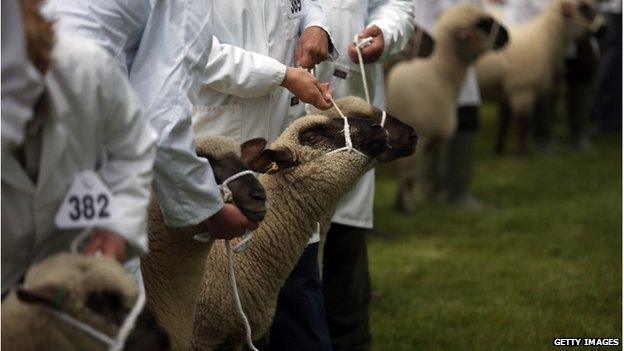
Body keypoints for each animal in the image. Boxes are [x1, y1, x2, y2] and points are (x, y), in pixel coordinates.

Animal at [386, 3, 512, 214]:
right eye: (483, 24)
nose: (507, 35)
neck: (439, 72)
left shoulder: (432, 139)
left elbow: (425, 170)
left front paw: (421, 199)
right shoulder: (418, 137)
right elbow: (409, 176)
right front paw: (406, 207)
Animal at [476, 0, 604, 154]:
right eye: (584, 7)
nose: (602, 29)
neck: (545, 37)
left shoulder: (507, 90)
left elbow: (503, 122)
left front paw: (499, 150)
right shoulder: (522, 89)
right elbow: (522, 123)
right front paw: (523, 153)